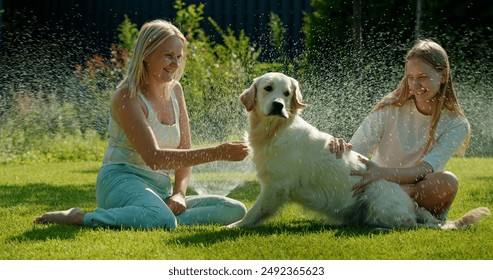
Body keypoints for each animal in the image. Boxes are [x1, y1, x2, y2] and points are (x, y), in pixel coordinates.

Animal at [229, 72, 490, 230]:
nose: (278, 106)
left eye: (287, 93)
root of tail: (412, 204)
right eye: (268, 88)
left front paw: (234, 226)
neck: (274, 131)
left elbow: (254, 211)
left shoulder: (276, 187)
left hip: (378, 201)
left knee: (409, 225)